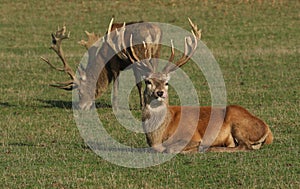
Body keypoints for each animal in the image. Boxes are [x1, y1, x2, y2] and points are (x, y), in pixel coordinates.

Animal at [106, 18, 274, 154]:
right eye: (148, 81)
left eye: (166, 82)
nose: (160, 93)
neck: (157, 137)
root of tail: (267, 130)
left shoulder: (191, 136)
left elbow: (172, 149)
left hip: (237, 122)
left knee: (245, 146)